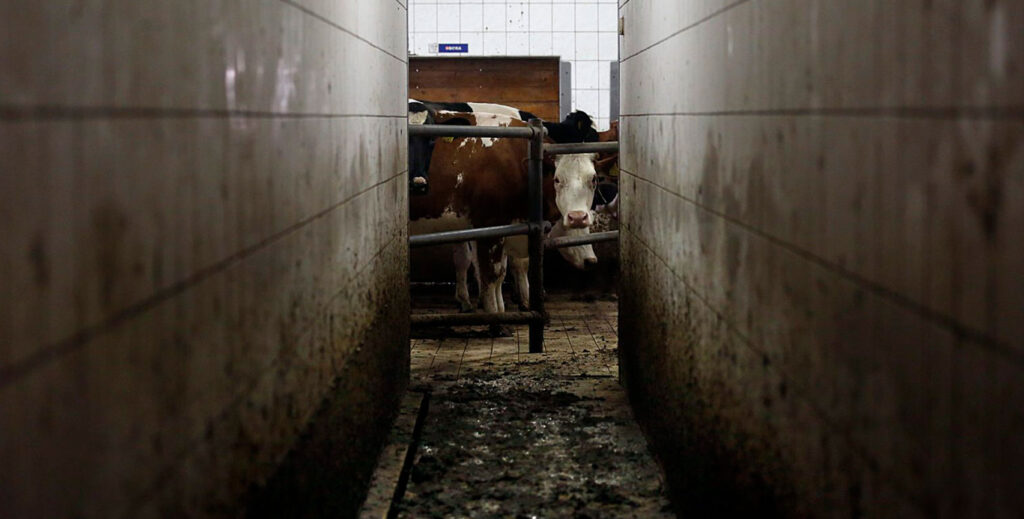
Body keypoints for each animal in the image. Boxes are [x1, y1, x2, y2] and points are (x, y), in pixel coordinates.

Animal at [409, 111, 598, 319]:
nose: (578, 217)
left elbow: (499, 273)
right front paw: (495, 316)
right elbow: (490, 275)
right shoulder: (488, 227)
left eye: (593, 179)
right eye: (557, 179)